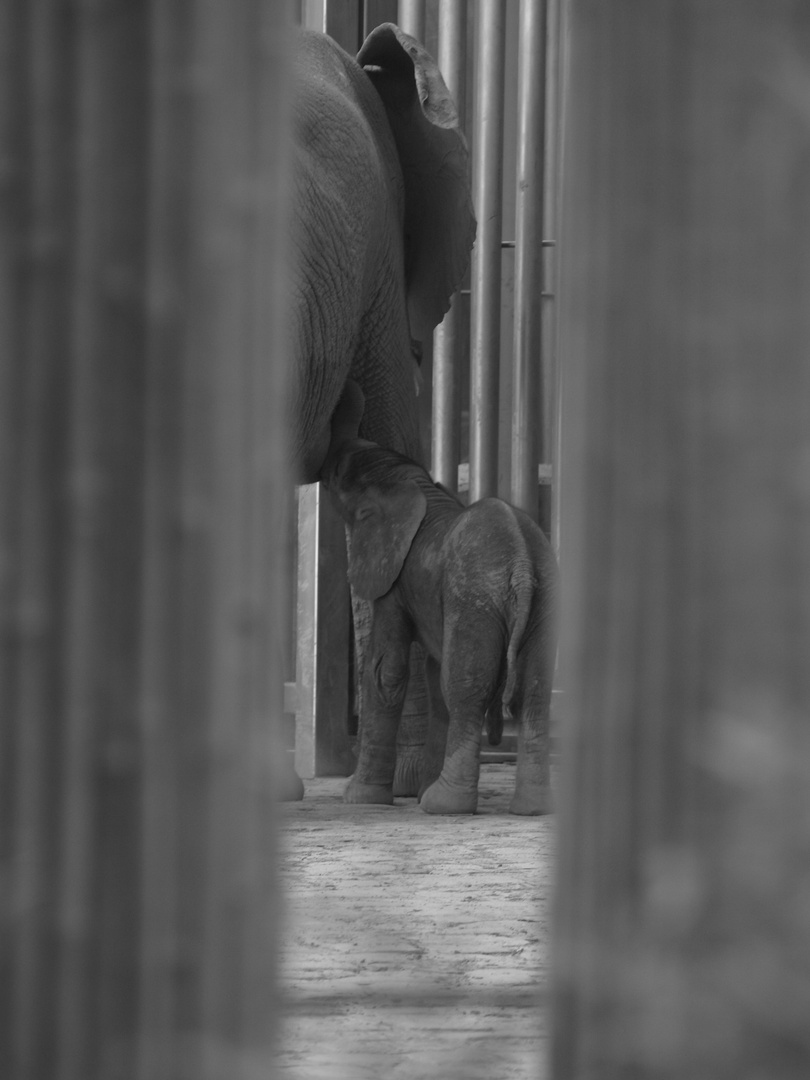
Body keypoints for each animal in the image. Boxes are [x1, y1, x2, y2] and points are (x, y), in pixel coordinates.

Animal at [321, 436, 557, 812]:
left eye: (340, 472)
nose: (340, 443)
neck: (416, 485)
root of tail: (521, 566)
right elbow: (434, 675)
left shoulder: (395, 580)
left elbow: (385, 670)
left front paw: (359, 798)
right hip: (542, 602)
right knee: (533, 691)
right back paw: (533, 808)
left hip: (475, 597)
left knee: (465, 688)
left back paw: (443, 805)